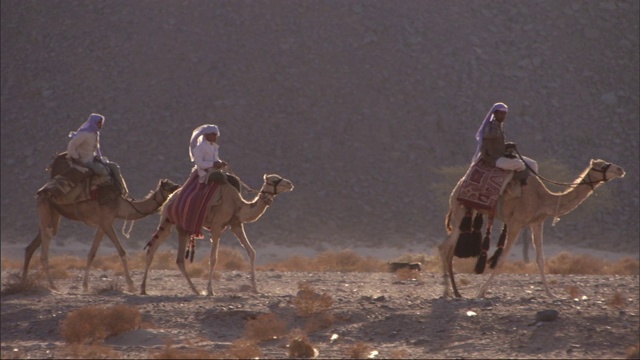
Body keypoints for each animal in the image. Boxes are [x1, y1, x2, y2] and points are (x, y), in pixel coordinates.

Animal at [140, 174, 296, 296]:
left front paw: (256, 289)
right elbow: (213, 258)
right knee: (153, 248)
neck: (237, 204)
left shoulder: (236, 224)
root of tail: (170, 198)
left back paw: (195, 290)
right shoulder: (216, 225)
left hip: (183, 228)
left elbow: (251, 251)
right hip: (167, 219)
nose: (290, 184)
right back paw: (143, 289)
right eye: (275, 180)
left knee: (179, 259)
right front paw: (210, 290)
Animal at [440, 158, 624, 298]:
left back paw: (456, 293)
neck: (543, 199)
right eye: (602, 166)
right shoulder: (516, 222)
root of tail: (459, 183)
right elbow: (502, 259)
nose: (621, 169)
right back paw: (448, 293)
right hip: (458, 209)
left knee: (449, 248)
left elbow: (540, 259)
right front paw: (481, 292)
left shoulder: (537, 222)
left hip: (465, 211)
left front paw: (551, 294)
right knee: (445, 247)